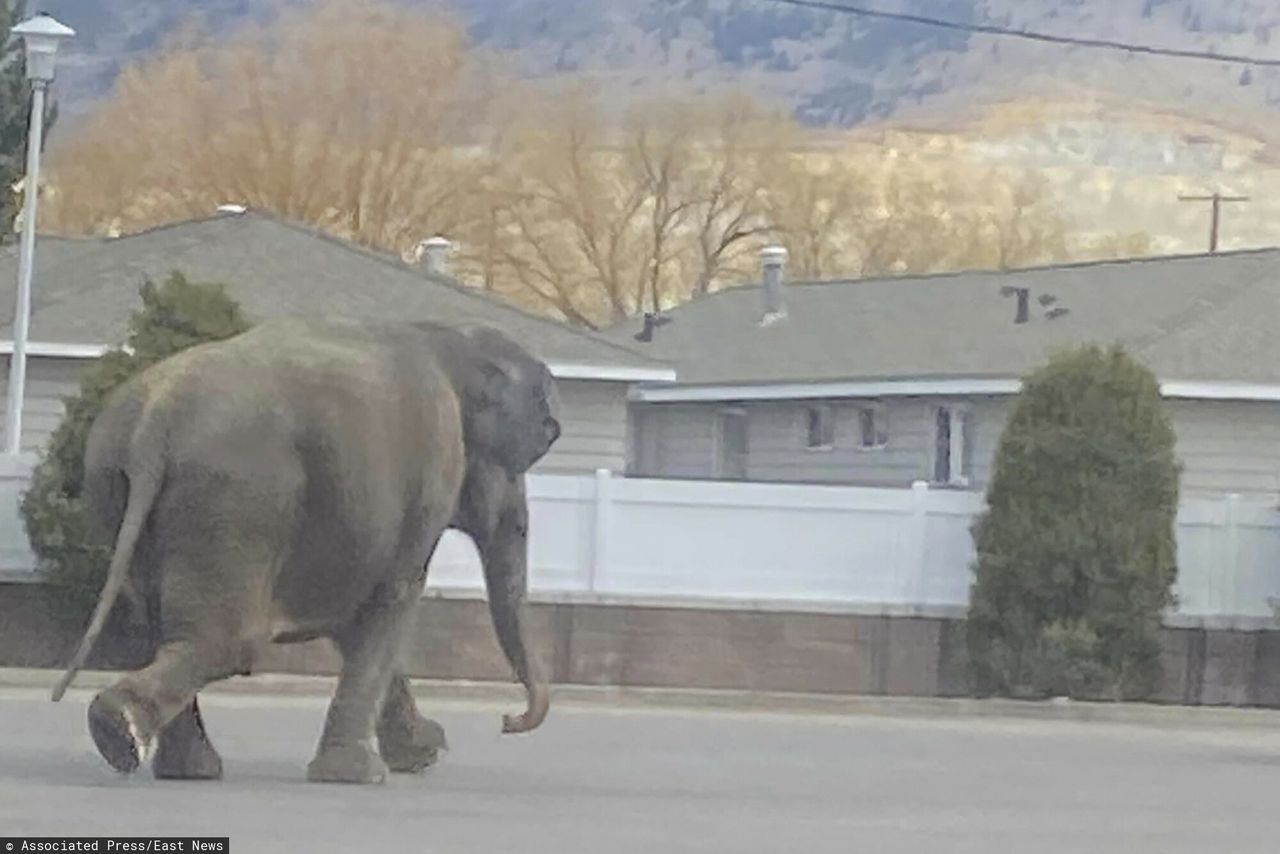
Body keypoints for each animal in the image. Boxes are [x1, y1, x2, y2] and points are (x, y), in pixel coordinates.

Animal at [51, 317, 560, 783]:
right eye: (518, 466)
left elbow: (355, 620)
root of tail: (157, 419)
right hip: (240, 497)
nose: (507, 721)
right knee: (225, 641)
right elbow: (392, 599)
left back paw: (181, 766)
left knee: (162, 631)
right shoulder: (430, 473)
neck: (450, 338)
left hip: (120, 491)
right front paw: (362, 774)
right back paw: (121, 731)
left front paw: (420, 753)